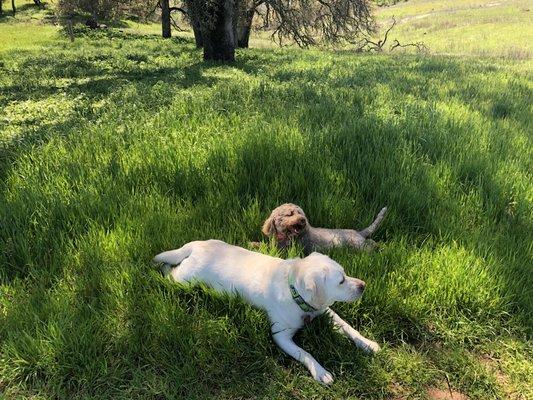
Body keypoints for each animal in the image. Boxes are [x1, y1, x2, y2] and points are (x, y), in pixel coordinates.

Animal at [153, 239, 378, 382]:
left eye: (345, 274)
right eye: (341, 281)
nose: (363, 286)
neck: (294, 291)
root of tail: (194, 246)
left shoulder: (324, 310)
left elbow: (348, 327)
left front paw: (367, 343)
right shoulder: (280, 336)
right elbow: (305, 353)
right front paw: (320, 371)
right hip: (185, 279)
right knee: (170, 271)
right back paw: (162, 269)